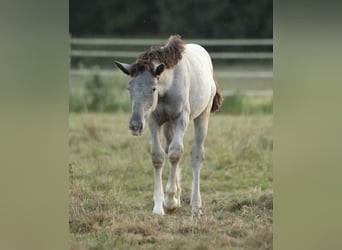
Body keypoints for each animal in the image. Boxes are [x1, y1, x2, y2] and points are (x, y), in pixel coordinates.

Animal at [113, 35, 223, 215]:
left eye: (153, 88)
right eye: (129, 88)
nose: (135, 126)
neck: (167, 87)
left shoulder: (181, 119)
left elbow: (175, 153)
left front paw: (170, 202)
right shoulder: (153, 121)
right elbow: (158, 156)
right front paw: (159, 206)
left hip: (202, 115)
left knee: (196, 154)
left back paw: (195, 205)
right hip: (167, 125)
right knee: (168, 147)